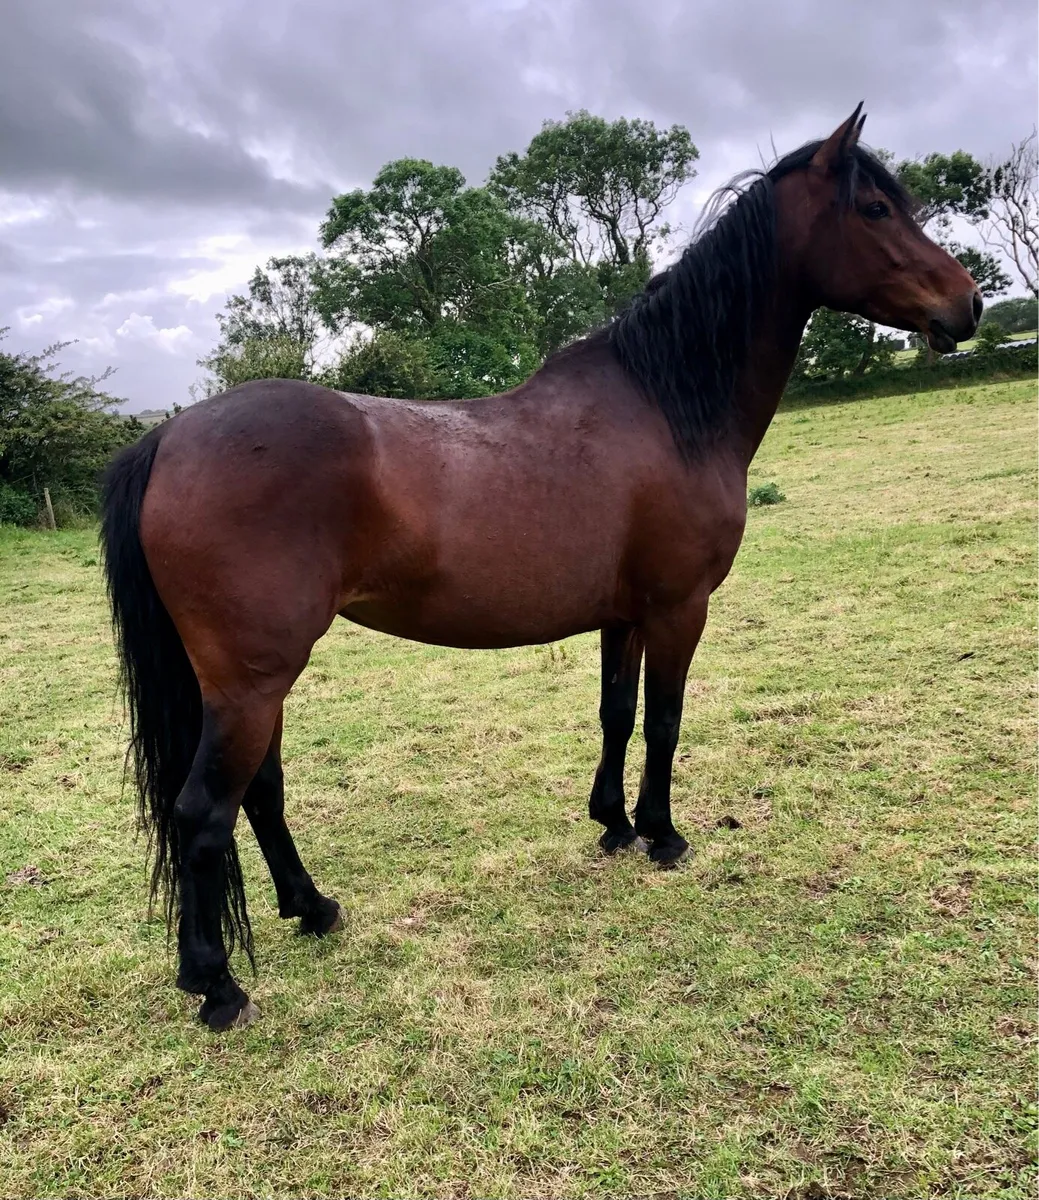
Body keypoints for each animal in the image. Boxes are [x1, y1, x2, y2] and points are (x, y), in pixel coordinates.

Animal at [101, 106, 981, 1030]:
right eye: (875, 210)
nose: (968, 302)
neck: (664, 407)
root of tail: (168, 438)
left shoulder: (622, 615)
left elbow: (616, 716)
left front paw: (613, 825)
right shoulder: (678, 607)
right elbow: (665, 720)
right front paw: (663, 834)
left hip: (249, 685)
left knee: (258, 794)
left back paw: (313, 909)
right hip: (251, 682)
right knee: (203, 812)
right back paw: (216, 984)